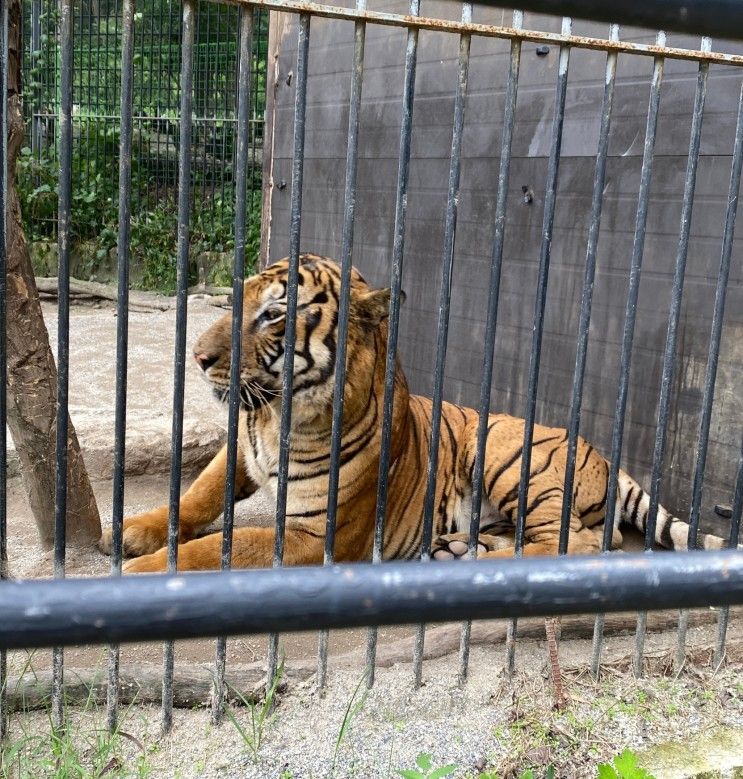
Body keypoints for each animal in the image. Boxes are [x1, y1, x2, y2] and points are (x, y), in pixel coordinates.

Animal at [100, 253, 740, 568]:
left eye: (274, 314)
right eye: (238, 299)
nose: (198, 358)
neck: (276, 415)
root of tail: (604, 456)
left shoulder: (314, 533)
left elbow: (216, 548)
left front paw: (141, 575)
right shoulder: (240, 448)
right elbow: (197, 496)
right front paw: (131, 533)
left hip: (507, 457)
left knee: (579, 544)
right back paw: (461, 548)